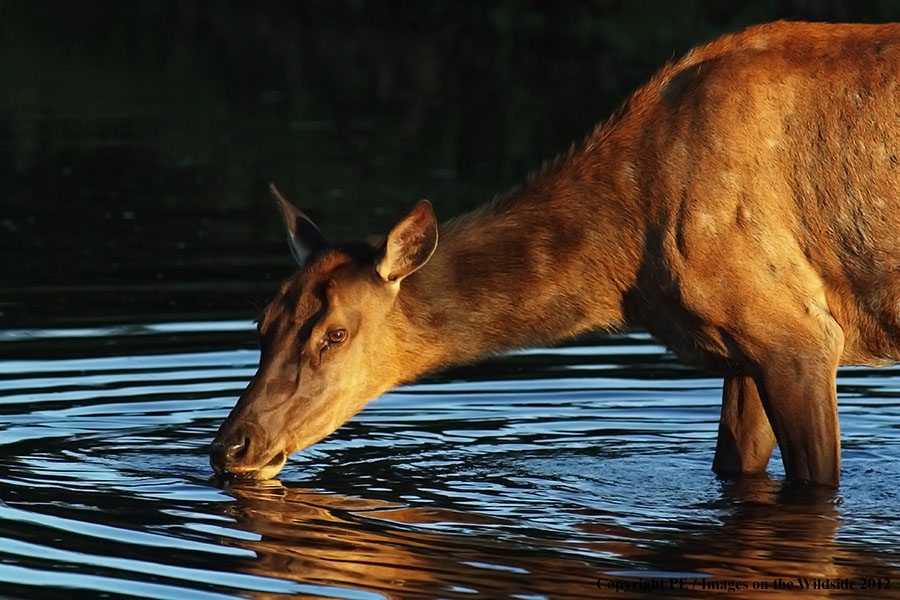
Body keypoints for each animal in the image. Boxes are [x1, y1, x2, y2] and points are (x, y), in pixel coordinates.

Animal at [209, 21, 900, 486]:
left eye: (335, 333)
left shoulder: (799, 336)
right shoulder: (740, 346)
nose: (232, 446)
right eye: (261, 323)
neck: (627, 273)